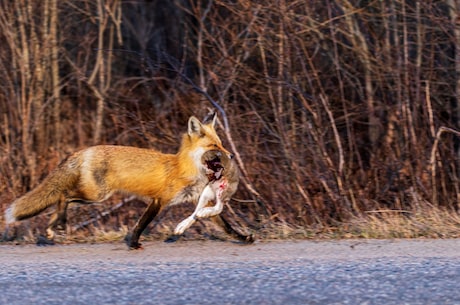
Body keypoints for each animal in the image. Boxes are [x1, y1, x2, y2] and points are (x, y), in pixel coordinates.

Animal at [5, 114, 253, 247]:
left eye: (221, 143)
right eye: (214, 146)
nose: (231, 156)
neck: (185, 169)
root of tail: (85, 150)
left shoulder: (195, 201)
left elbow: (226, 225)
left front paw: (243, 238)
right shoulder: (159, 200)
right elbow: (141, 224)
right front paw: (133, 243)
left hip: (95, 197)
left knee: (60, 201)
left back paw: (51, 227)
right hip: (96, 195)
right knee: (63, 196)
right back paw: (58, 223)